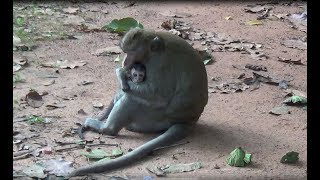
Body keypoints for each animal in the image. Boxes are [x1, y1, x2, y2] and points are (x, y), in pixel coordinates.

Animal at [69, 28, 208, 177]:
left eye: (131, 52)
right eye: (125, 51)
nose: (124, 62)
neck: (154, 47)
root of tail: (189, 121)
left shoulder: (159, 64)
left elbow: (157, 92)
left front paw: (120, 74)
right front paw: (121, 79)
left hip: (153, 120)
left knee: (132, 99)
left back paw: (106, 128)